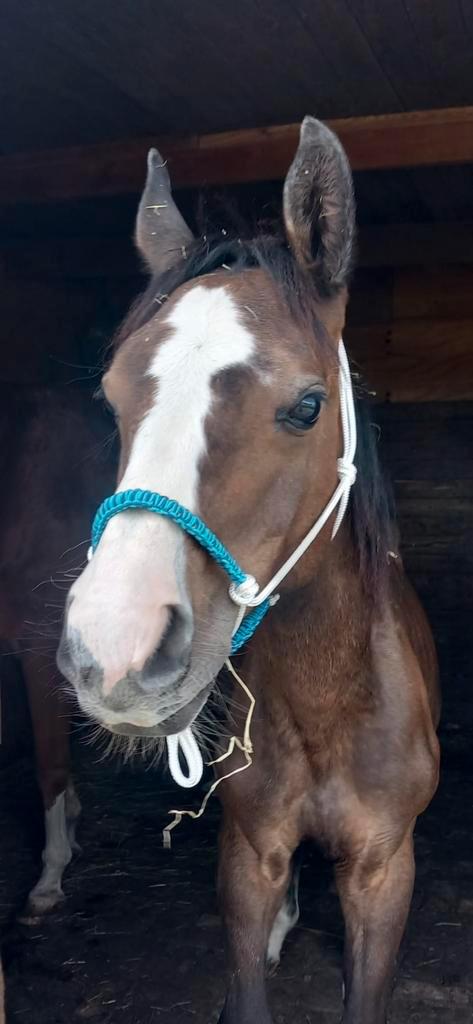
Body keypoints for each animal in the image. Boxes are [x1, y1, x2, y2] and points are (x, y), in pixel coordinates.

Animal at [57, 117, 440, 1024]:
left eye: (305, 406)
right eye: (111, 399)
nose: (114, 650)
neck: (329, 705)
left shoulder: (384, 874)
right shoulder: (246, 858)